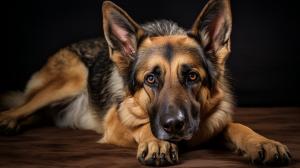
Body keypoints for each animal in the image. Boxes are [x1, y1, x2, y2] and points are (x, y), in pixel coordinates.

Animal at [0, 0, 290, 165]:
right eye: (150, 78)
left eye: (192, 76)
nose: (174, 125)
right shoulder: (115, 123)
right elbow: (141, 126)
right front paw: (156, 143)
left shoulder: (214, 120)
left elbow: (237, 126)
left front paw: (263, 142)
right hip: (73, 76)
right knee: (21, 106)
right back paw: (8, 120)